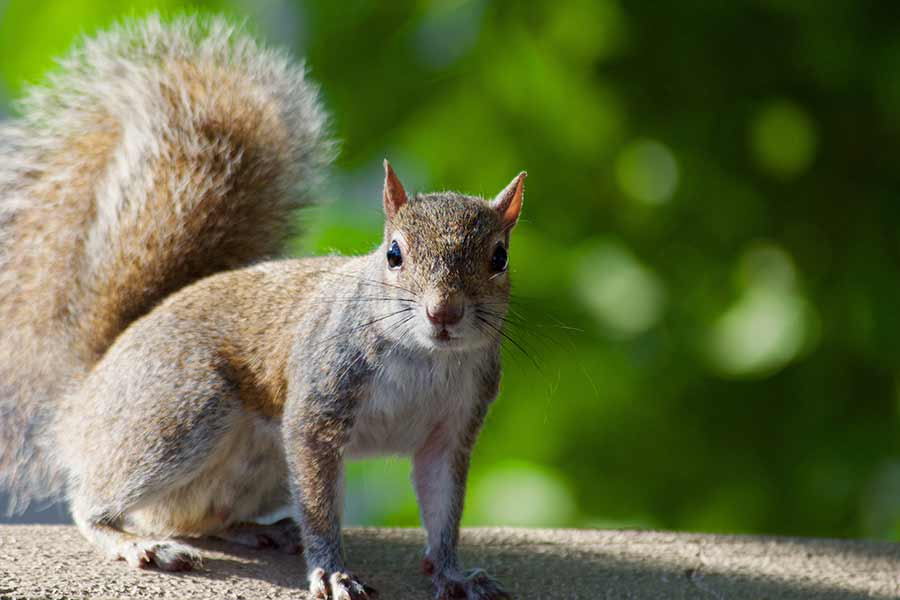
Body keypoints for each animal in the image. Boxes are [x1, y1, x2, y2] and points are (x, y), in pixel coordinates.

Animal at [0, 14, 524, 600]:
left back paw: (257, 530)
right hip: (180, 411)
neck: (425, 358)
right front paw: (333, 571)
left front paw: (453, 573)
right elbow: (321, 506)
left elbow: (443, 510)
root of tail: (85, 394)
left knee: (197, 515)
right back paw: (136, 543)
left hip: (260, 465)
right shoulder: (318, 407)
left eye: (499, 257)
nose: (444, 313)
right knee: (95, 504)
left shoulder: (451, 432)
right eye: (393, 253)